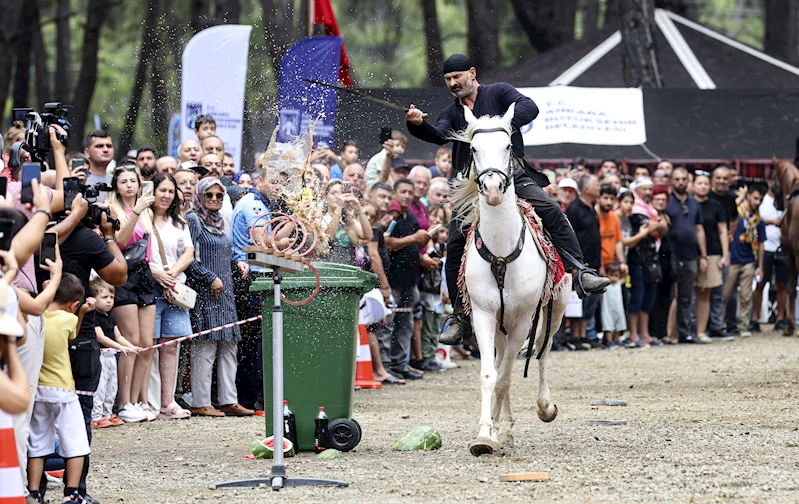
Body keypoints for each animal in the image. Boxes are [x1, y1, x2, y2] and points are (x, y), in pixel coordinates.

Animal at [454, 102, 572, 456]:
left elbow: (506, 377)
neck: (501, 251)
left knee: (544, 350)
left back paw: (544, 408)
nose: (493, 190)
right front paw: (486, 435)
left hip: (556, 306)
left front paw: (494, 431)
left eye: (508, 145)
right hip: (501, 325)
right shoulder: (484, 315)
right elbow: (490, 375)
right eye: (473, 148)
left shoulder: (522, 319)